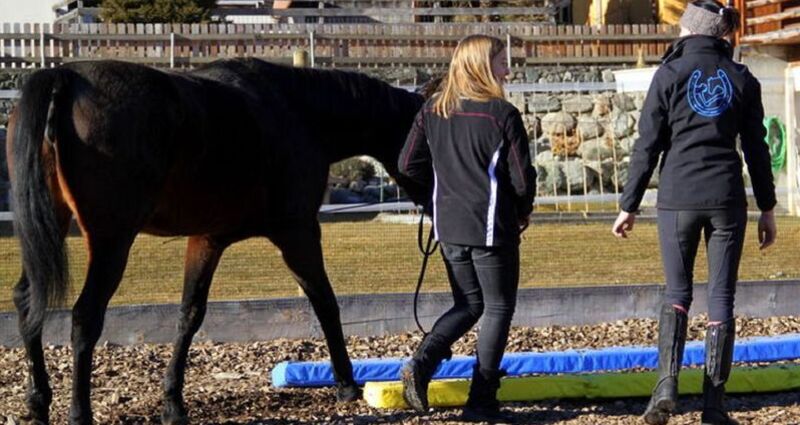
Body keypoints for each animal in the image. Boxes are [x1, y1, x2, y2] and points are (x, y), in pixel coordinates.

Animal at [6, 58, 428, 424]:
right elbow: (325, 302)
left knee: (28, 300)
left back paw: (38, 402)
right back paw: (79, 412)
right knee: (85, 316)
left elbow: (189, 315)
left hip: (52, 227)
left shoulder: (207, 239)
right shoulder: (298, 233)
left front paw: (173, 404)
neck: (298, 111)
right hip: (112, 240)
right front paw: (346, 385)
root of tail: (64, 77)